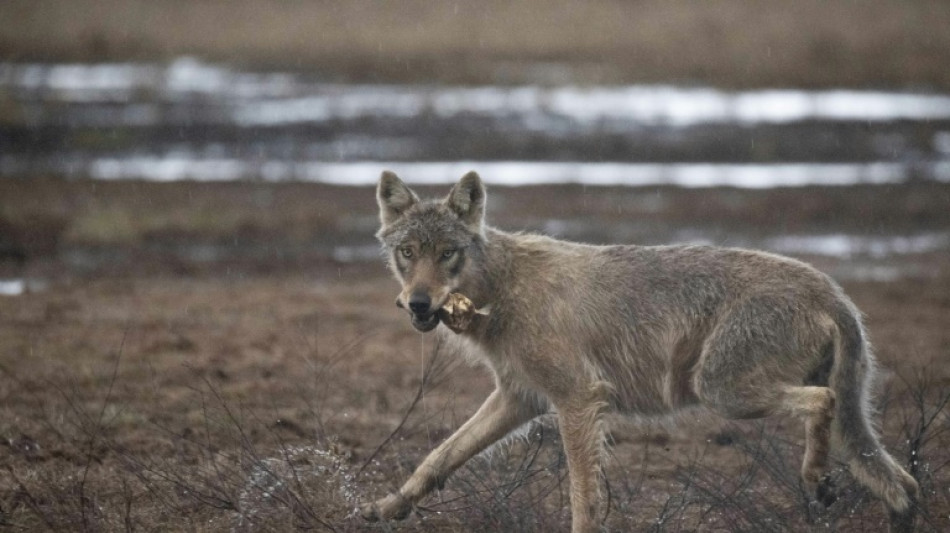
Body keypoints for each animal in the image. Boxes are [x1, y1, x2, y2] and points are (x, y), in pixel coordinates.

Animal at [360, 171, 919, 532]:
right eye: (407, 253)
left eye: (447, 253)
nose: (419, 303)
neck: (502, 289)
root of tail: (833, 291)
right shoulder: (519, 400)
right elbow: (437, 458)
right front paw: (385, 508)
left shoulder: (579, 399)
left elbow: (583, 499)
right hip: (803, 414)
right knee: (903, 483)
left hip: (723, 392)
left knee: (822, 402)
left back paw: (816, 480)